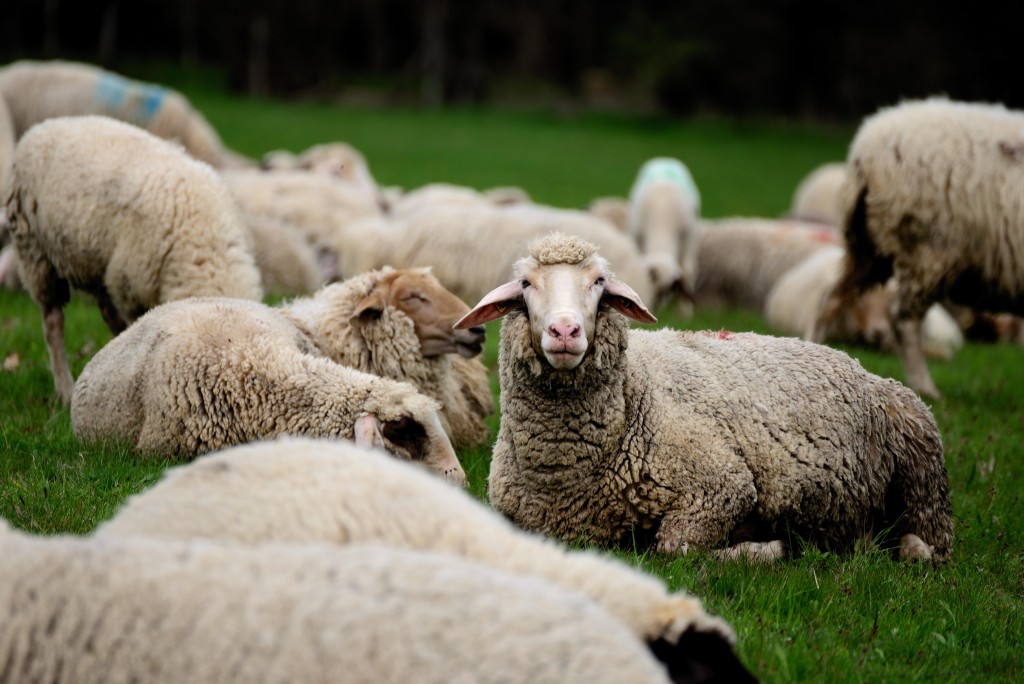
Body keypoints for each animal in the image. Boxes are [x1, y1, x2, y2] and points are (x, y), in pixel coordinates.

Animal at [6, 115, 263, 403]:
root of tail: (45, 125)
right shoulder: (131, 287)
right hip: (35, 252)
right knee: (52, 323)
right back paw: (65, 389)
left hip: (98, 265)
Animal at [455, 232, 954, 562]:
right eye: (526, 284)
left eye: (598, 282)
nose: (565, 331)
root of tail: (855, 363)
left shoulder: (720, 486)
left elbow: (673, 549)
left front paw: (761, 548)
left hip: (923, 459)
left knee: (933, 540)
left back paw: (907, 548)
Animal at [627, 157, 702, 311]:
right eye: (650, 288)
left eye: (667, 292)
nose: (651, 309)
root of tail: (664, 159)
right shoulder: (639, 239)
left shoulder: (689, 238)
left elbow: (688, 270)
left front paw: (685, 310)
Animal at [815, 97, 1024, 399]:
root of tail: (864, 153)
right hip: (927, 250)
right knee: (905, 319)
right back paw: (926, 387)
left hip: (868, 248)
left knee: (831, 299)